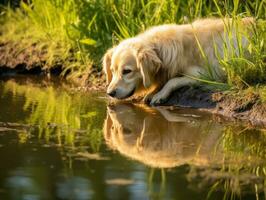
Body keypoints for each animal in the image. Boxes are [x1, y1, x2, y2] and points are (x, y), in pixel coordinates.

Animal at [102, 17, 254, 104]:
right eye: (112, 71)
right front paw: (153, 92)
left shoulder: (204, 75)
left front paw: (159, 95)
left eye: (127, 71)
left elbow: (172, 81)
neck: (159, 49)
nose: (110, 93)